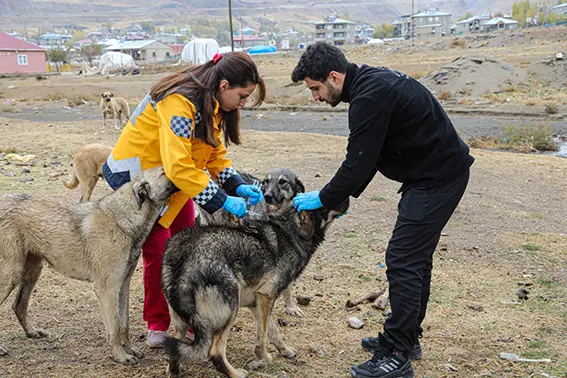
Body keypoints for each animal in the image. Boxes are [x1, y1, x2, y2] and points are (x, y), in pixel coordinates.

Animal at [0, 167, 178, 364]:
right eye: (163, 172)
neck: (122, 220)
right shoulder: (107, 289)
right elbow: (115, 327)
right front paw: (121, 356)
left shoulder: (123, 286)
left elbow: (124, 323)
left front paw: (129, 350)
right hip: (11, 275)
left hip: (33, 271)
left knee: (18, 305)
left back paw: (32, 332)